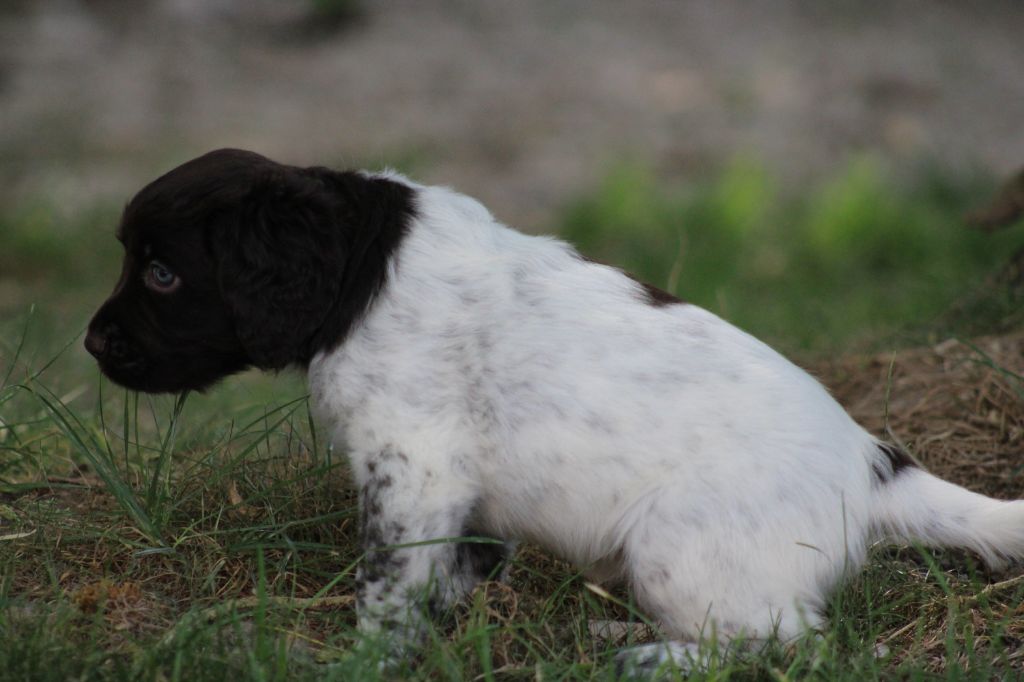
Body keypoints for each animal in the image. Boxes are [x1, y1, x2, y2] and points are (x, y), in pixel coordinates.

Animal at [86, 147, 1024, 667]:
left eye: (161, 273)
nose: (93, 344)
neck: (360, 270)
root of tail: (875, 465)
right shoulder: (455, 489)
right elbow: (455, 566)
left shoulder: (413, 468)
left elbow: (388, 584)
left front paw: (362, 657)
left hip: (680, 546)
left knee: (781, 639)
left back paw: (645, 655)